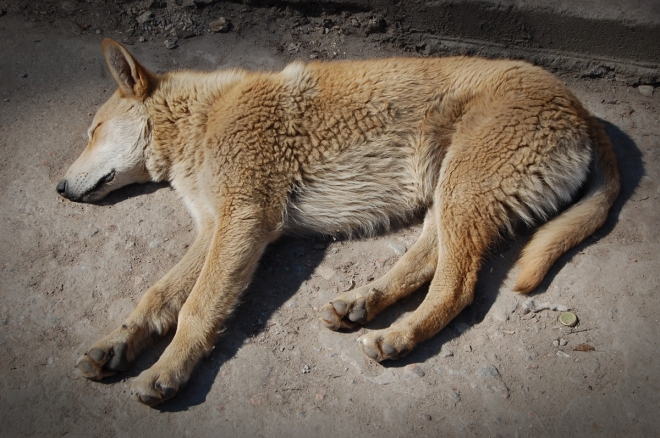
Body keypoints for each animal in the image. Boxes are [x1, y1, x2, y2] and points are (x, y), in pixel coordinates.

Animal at [58, 39, 620, 406]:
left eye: (93, 131)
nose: (59, 189)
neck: (202, 119)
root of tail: (579, 106)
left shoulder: (243, 220)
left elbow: (197, 308)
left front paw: (168, 369)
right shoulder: (215, 227)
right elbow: (158, 296)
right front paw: (116, 345)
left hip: (463, 191)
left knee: (457, 287)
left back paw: (399, 335)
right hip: (449, 194)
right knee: (426, 262)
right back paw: (362, 302)